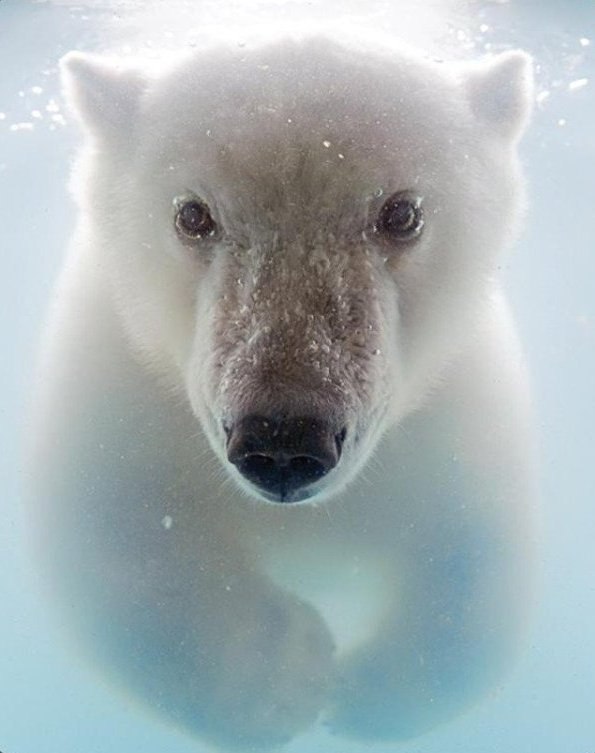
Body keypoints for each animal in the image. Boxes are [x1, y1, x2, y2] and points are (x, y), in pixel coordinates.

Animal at [30, 33, 536, 752]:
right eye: (192, 215)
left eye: (402, 212)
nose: (282, 442)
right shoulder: (120, 372)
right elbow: (104, 529)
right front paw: (281, 672)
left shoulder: (455, 404)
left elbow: (483, 542)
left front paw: (365, 692)